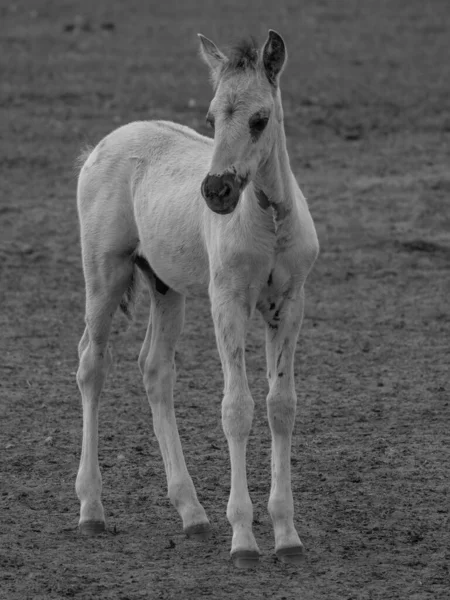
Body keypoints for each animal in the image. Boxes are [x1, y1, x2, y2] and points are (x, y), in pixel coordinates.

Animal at [75, 30, 318, 568]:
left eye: (259, 119)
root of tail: (103, 144)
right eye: (210, 119)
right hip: (104, 276)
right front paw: (243, 539)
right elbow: (237, 409)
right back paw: (91, 509)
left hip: (165, 288)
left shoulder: (289, 305)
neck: (269, 222)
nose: (216, 191)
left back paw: (191, 512)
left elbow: (281, 406)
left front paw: (287, 535)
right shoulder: (227, 303)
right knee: (91, 366)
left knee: (154, 370)